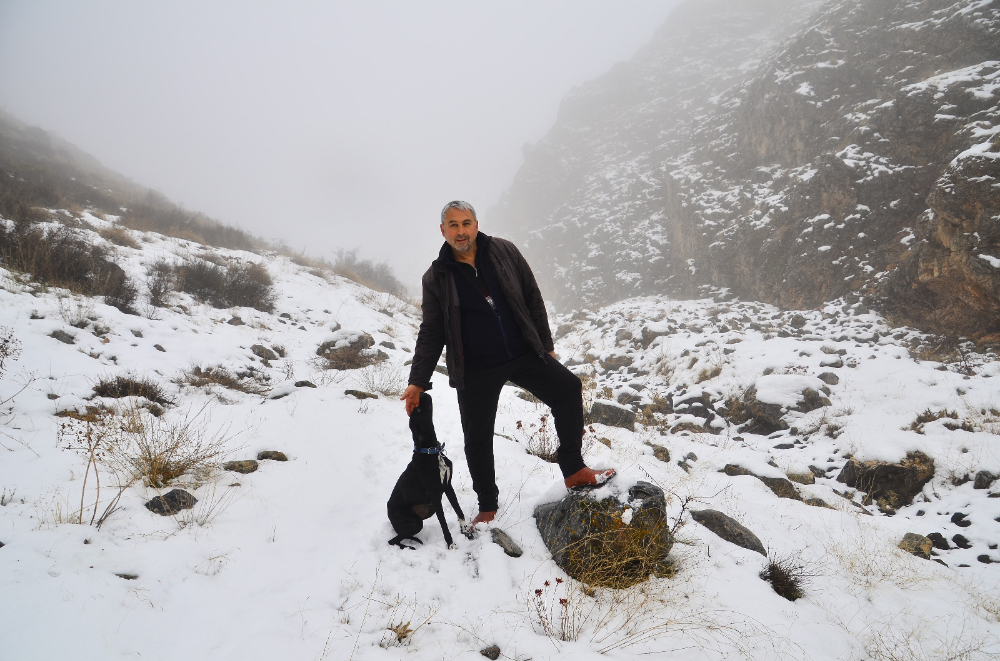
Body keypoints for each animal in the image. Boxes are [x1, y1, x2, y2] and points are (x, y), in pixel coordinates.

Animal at [388, 390, 470, 548]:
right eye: (419, 410)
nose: (420, 393)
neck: (431, 452)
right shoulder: (435, 495)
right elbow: (444, 524)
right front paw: (451, 545)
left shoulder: (448, 486)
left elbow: (459, 511)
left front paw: (466, 531)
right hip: (415, 523)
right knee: (392, 541)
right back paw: (409, 547)